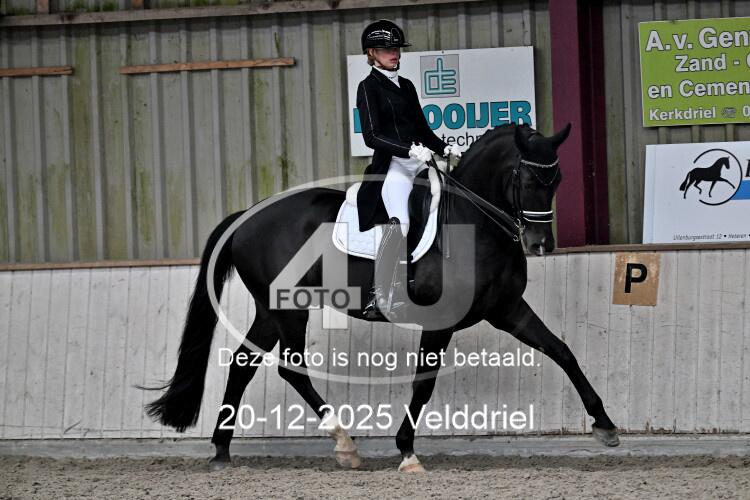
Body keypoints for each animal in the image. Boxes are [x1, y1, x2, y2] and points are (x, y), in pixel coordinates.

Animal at [142, 123, 620, 473]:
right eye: (523, 176)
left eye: (557, 177)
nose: (541, 244)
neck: (472, 225)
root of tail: (246, 217)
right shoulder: (440, 322)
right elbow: (423, 383)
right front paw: (406, 451)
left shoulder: (507, 310)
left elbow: (562, 351)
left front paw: (605, 424)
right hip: (288, 308)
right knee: (291, 369)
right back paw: (344, 444)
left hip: (269, 310)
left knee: (244, 364)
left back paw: (222, 450)